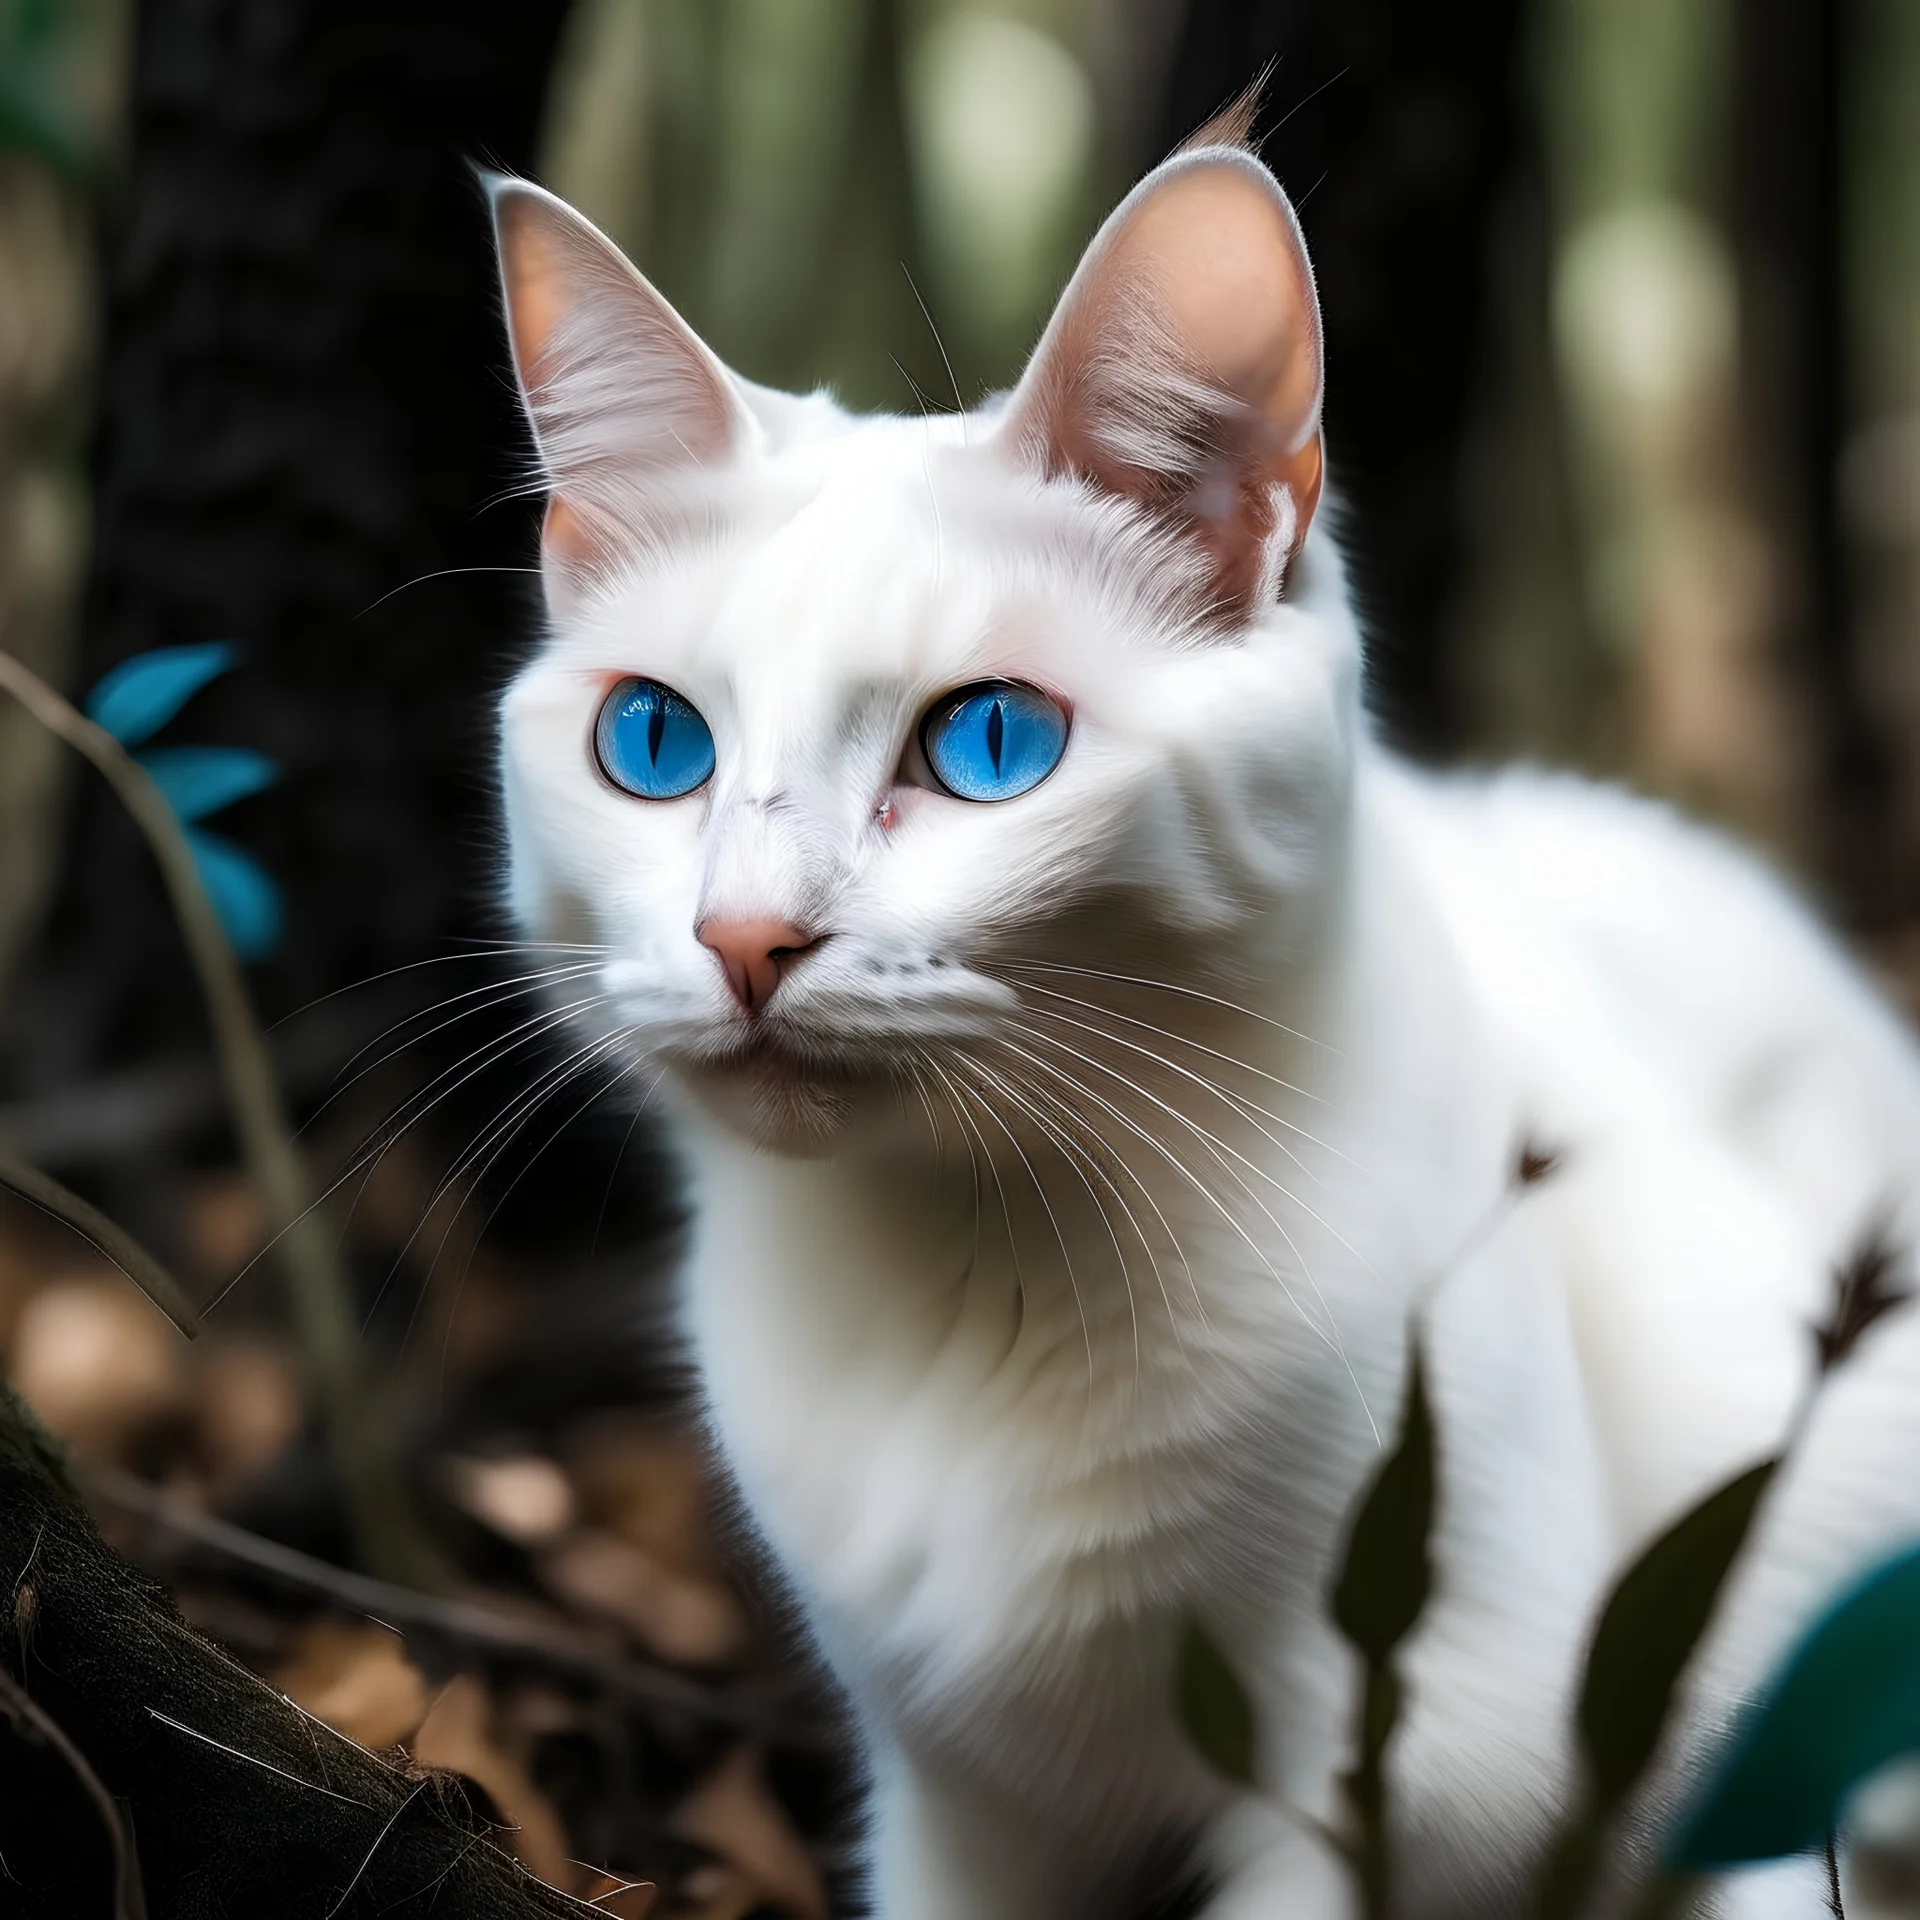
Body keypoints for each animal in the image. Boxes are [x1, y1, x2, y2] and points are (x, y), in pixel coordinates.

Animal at [487, 127, 1920, 1912]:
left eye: (991, 743)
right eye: (653, 743)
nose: (745, 937)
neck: (962, 1279)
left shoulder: (1416, 1758)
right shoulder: (959, 1804)